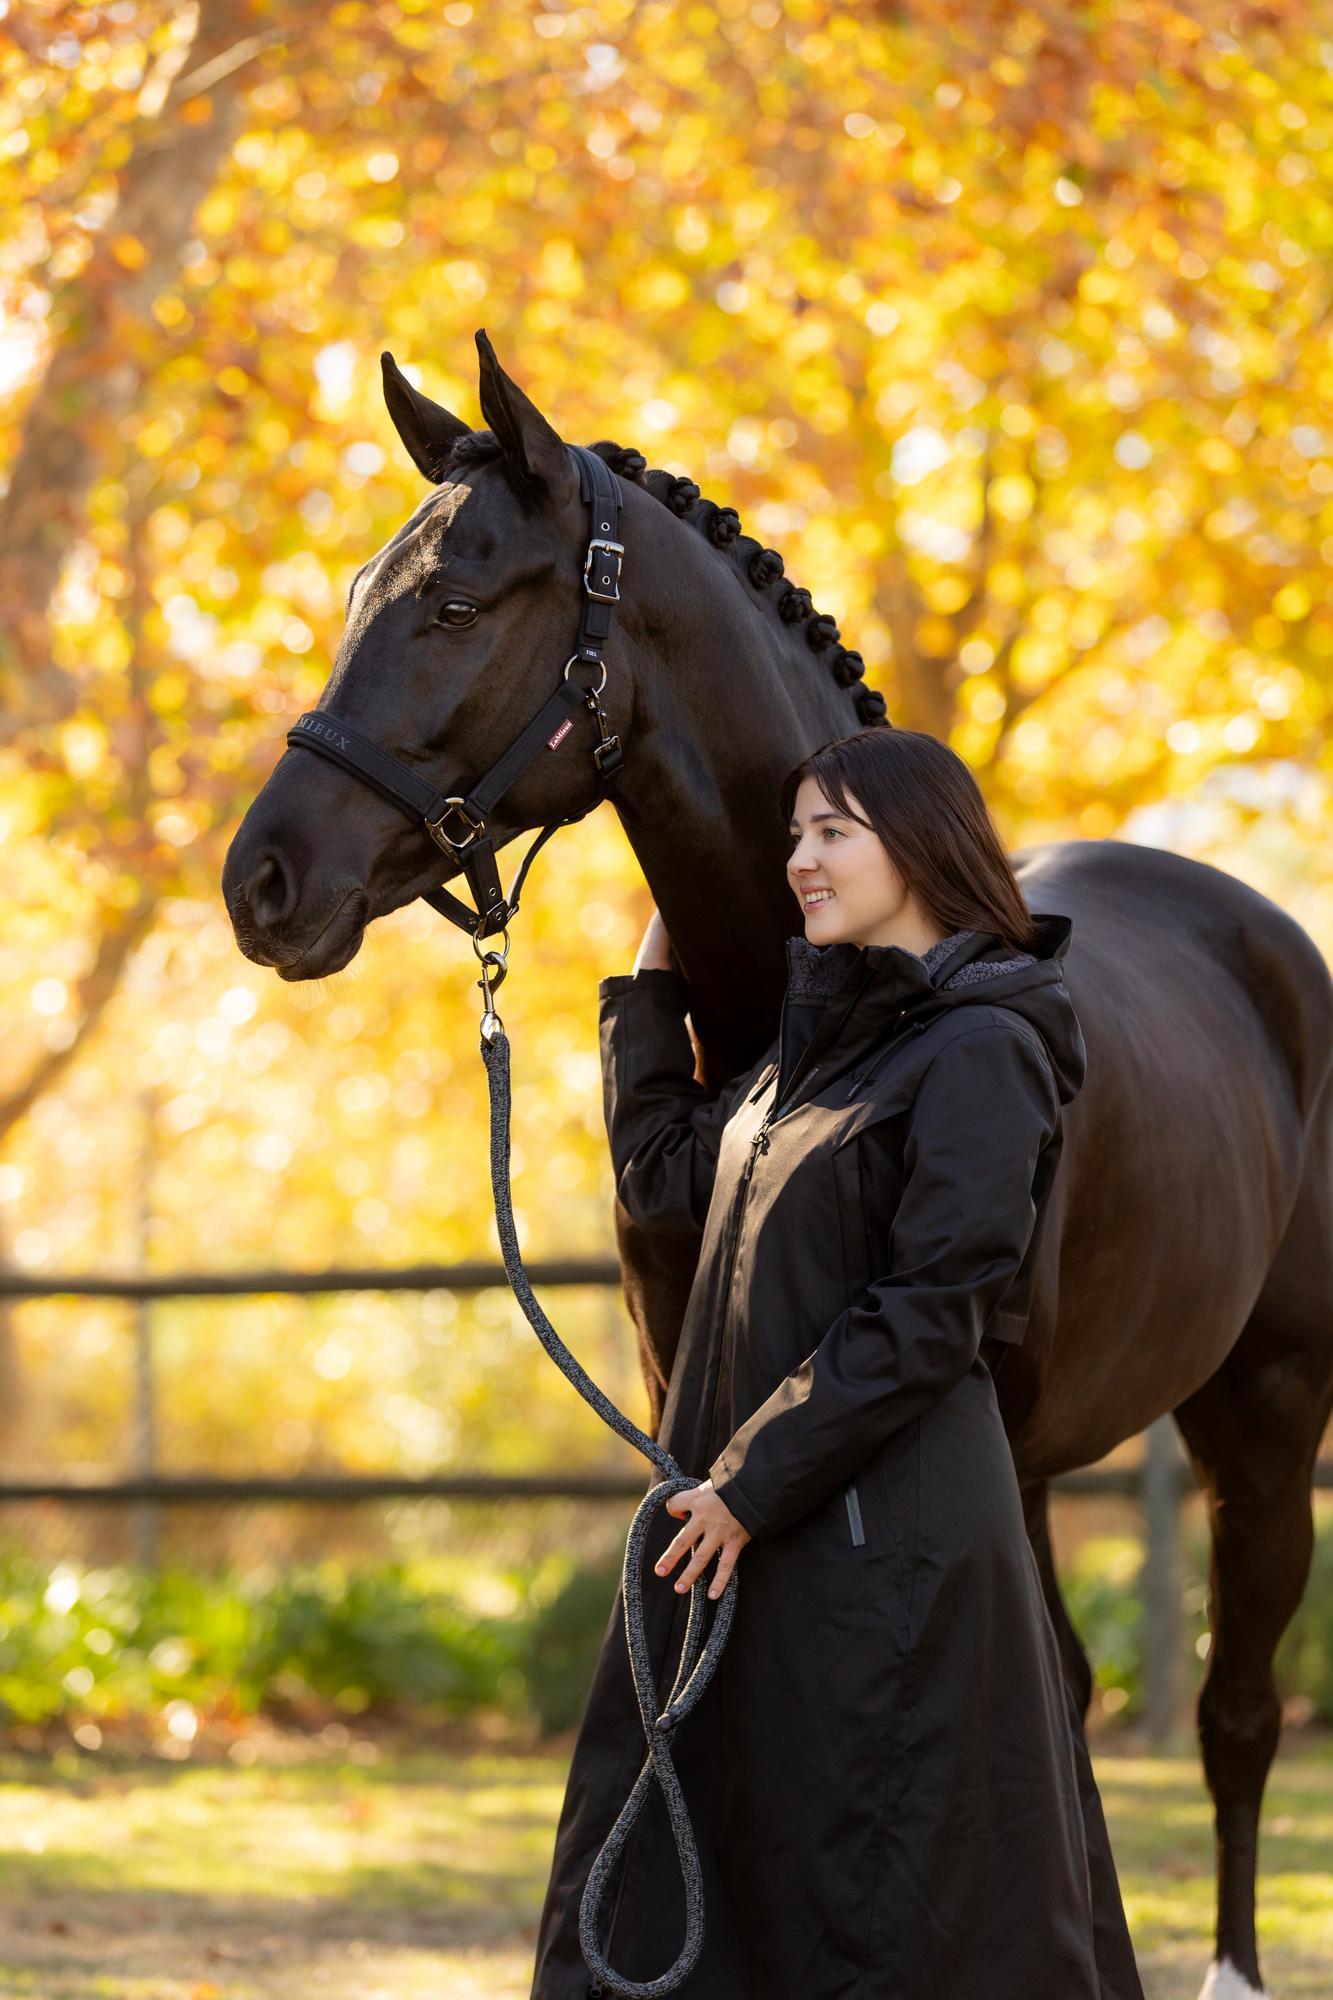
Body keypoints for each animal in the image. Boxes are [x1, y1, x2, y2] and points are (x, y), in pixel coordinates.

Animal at [222, 330, 1332, 2000]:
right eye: (362, 590)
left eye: (456, 605)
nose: (263, 882)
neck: (805, 1010)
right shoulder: (694, 1408)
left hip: (1259, 1416)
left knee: (1233, 1715)